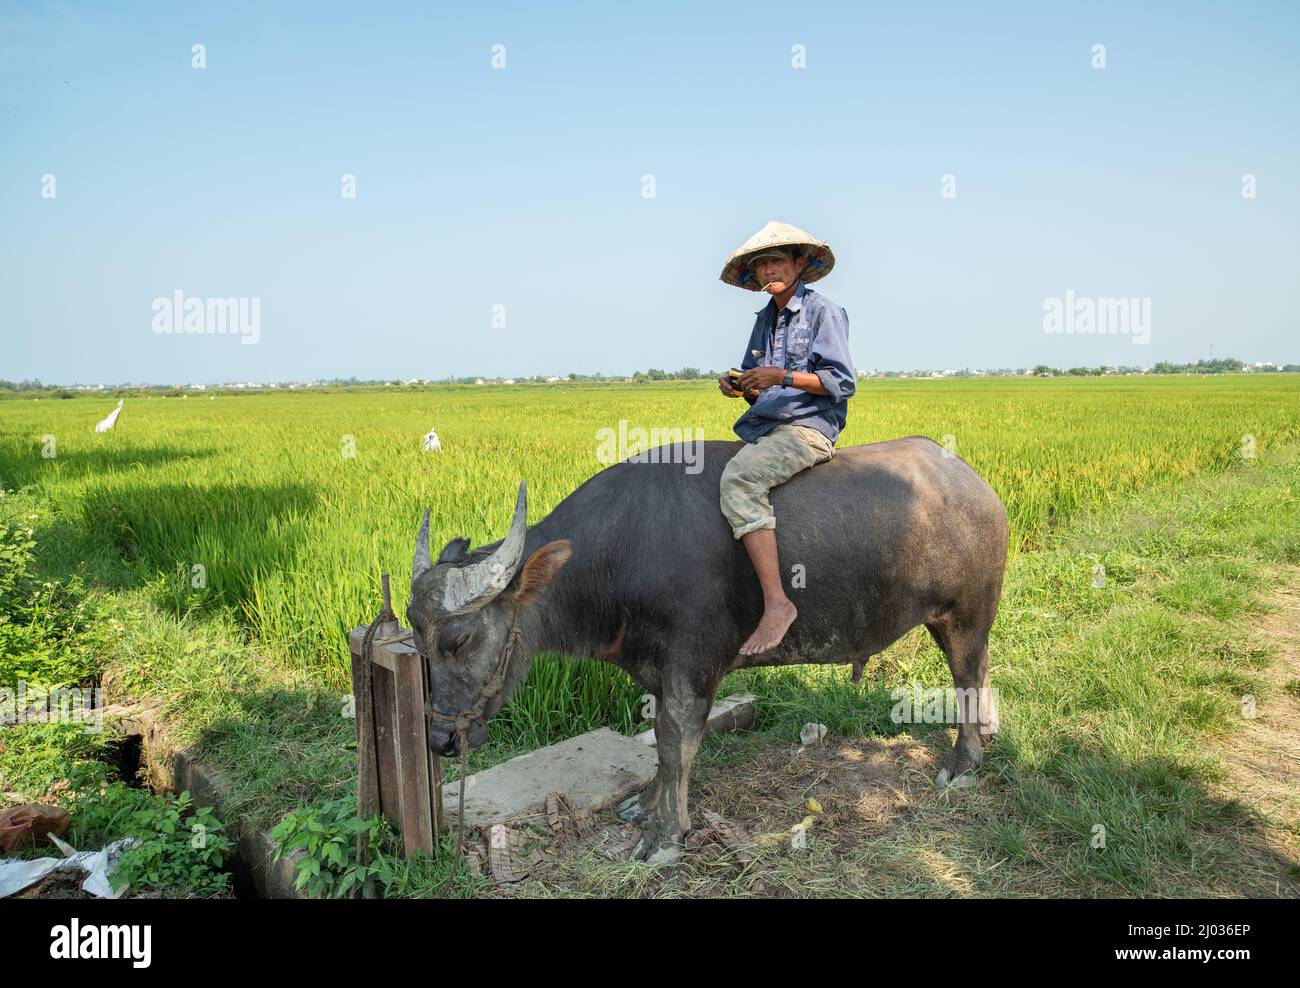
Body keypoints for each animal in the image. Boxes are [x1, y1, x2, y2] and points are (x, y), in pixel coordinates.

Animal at [405, 436, 1003, 863]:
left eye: (459, 638)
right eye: (415, 635)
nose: (439, 739)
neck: (618, 558)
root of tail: (974, 483)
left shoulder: (693, 664)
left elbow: (677, 744)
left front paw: (666, 836)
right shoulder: (658, 670)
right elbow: (659, 743)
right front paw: (646, 803)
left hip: (967, 615)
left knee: (967, 679)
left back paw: (962, 765)